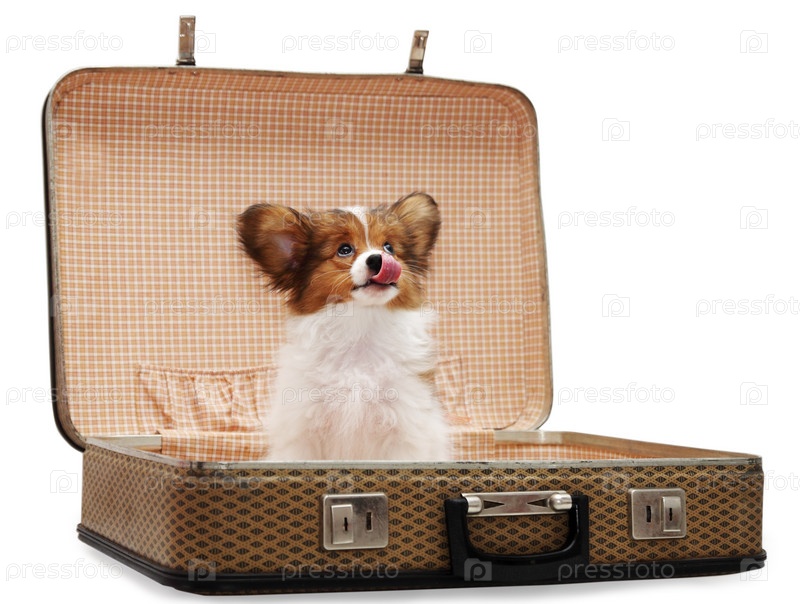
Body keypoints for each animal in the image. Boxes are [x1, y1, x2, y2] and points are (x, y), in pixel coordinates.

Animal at [236, 192, 451, 460]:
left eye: (389, 248)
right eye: (344, 250)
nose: (379, 259)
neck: (360, 329)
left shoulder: (404, 430)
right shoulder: (303, 432)